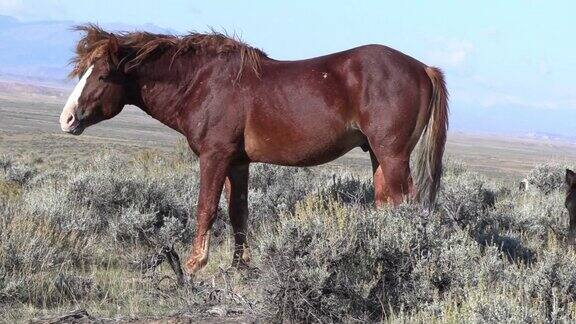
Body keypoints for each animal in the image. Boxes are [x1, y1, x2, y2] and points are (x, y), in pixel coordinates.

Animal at [58, 24, 450, 274]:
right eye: (82, 71)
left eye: (103, 75)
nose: (67, 119)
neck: (202, 83)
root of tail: (423, 68)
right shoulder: (237, 162)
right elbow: (238, 213)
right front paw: (239, 266)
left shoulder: (214, 156)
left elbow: (205, 210)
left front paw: (194, 265)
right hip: (378, 157)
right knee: (387, 205)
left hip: (392, 156)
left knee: (407, 206)